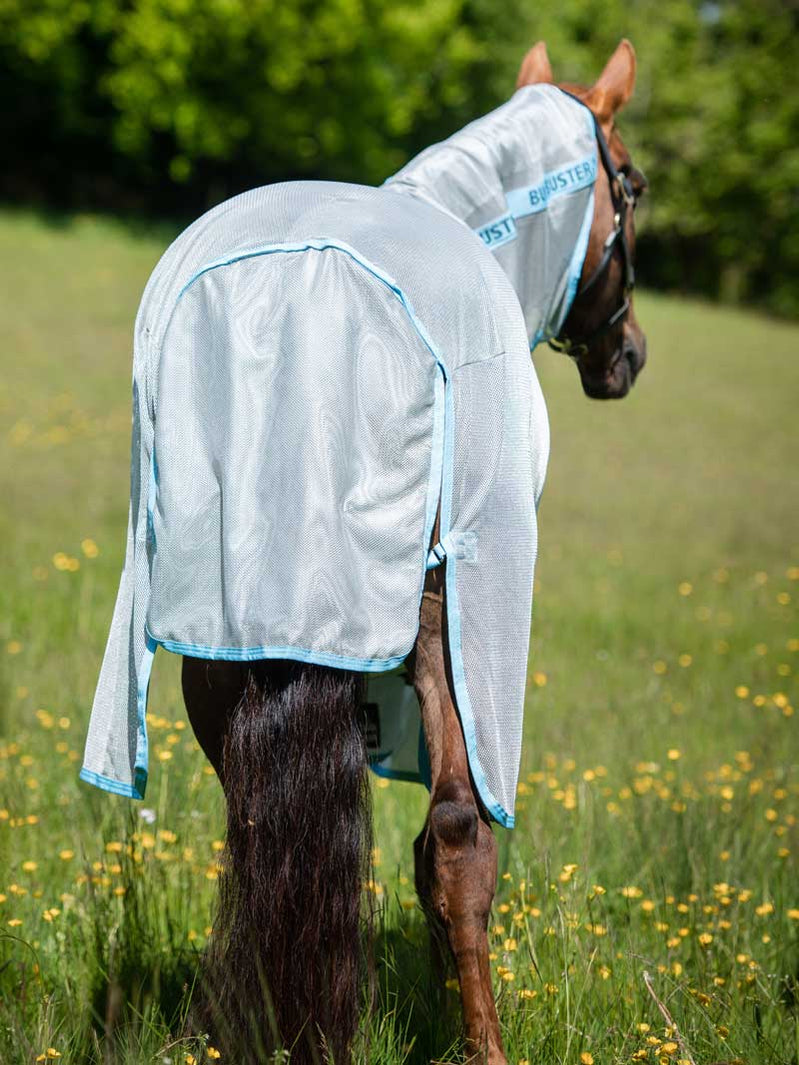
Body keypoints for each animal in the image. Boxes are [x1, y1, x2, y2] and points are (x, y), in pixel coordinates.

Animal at [80, 35, 647, 1065]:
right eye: (632, 183)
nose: (627, 355)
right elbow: (446, 841)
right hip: (438, 619)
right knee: (459, 834)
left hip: (217, 639)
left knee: (256, 827)